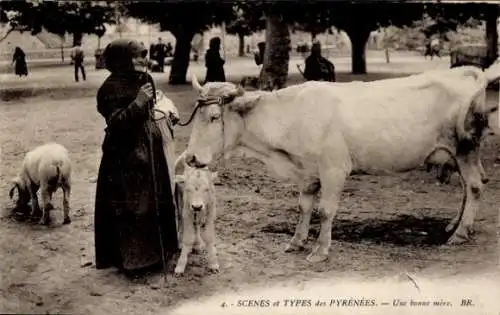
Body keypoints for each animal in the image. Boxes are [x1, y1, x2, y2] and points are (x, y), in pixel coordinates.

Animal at [183, 64, 500, 264]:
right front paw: (296, 242)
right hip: (460, 154)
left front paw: (320, 250)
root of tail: (466, 71)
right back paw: (454, 225)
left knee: (474, 186)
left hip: (465, 147)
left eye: (214, 117)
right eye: (196, 117)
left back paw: (459, 234)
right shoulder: (306, 172)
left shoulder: (334, 168)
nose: (190, 157)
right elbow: (304, 207)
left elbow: (325, 210)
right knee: (469, 186)